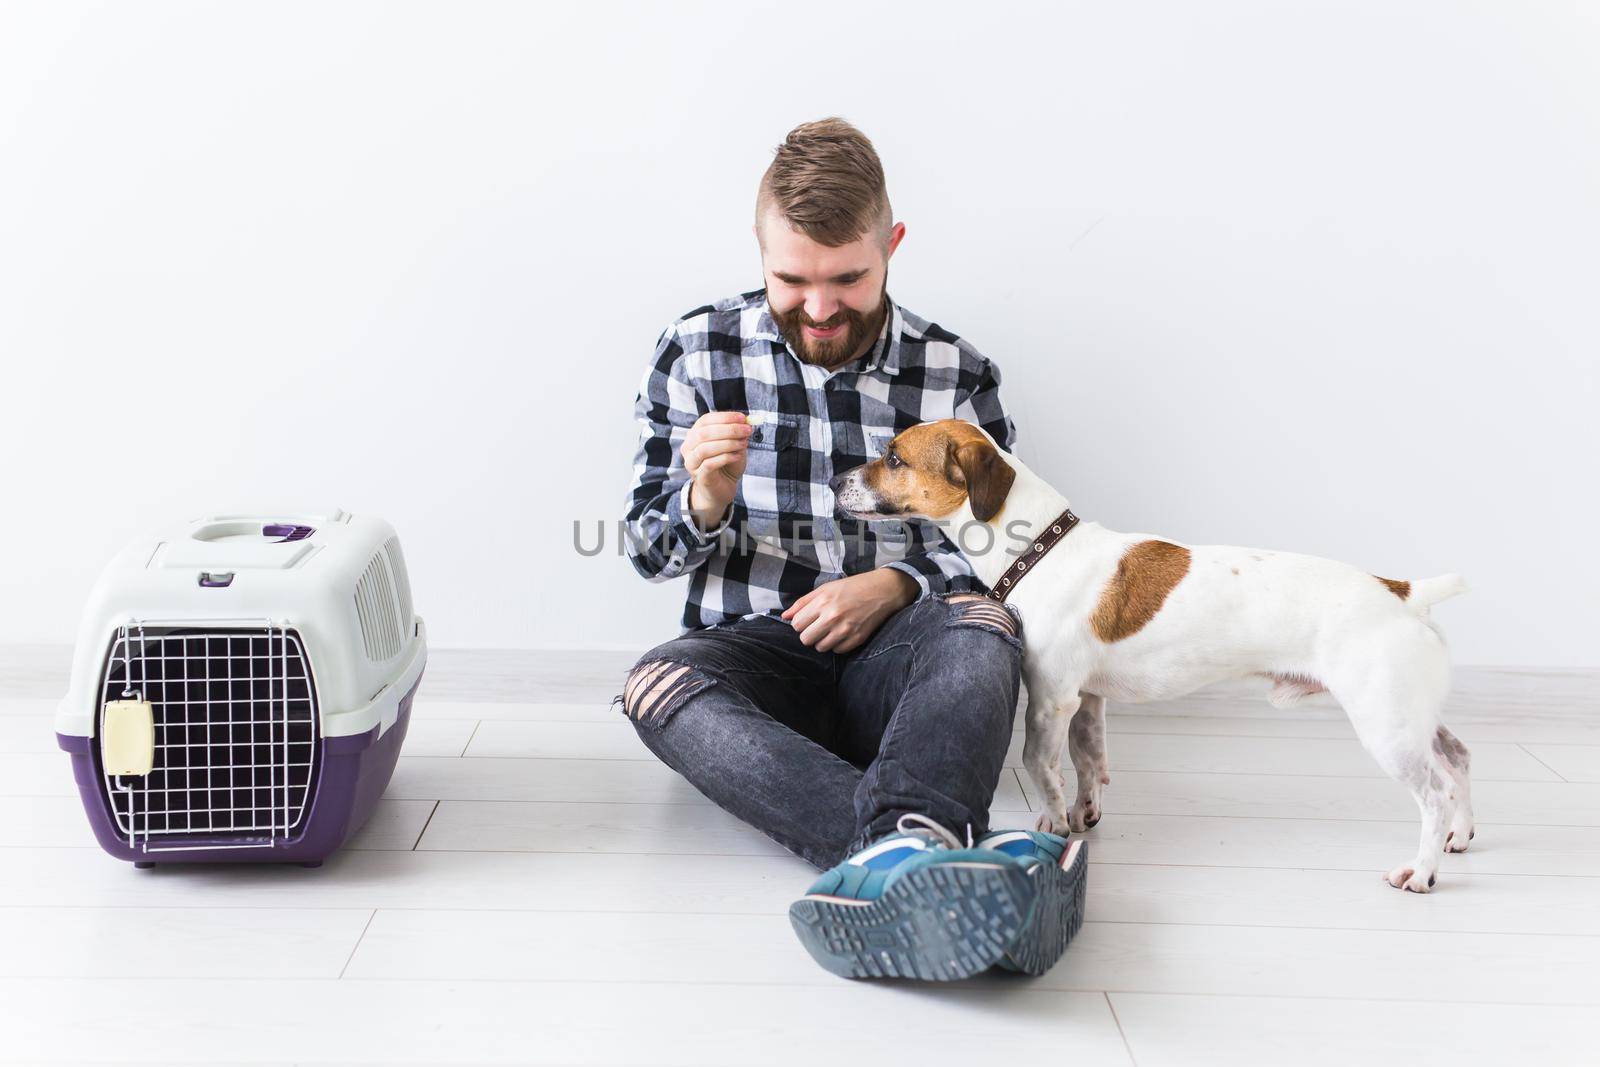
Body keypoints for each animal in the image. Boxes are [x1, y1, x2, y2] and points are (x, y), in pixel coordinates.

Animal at [838, 415, 1472, 895]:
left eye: (893, 457)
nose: (834, 479)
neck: (1039, 548)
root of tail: (1400, 590)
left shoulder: (1051, 701)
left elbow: (1040, 766)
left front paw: (1051, 823)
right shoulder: (1087, 701)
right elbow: (1089, 762)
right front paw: (1083, 816)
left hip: (1385, 727)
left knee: (1435, 793)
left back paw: (1422, 872)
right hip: (1411, 718)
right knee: (1459, 759)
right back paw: (1460, 836)